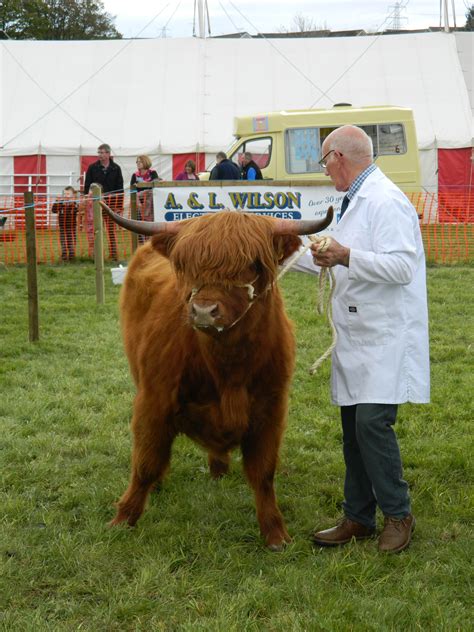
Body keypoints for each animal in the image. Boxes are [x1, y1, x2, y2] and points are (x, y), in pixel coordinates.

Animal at [100, 205, 334, 552]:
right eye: (186, 266)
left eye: (252, 265)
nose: (203, 311)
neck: (228, 369)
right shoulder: (153, 400)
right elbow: (145, 462)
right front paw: (123, 518)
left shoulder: (271, 408)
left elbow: (264, 473)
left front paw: (275, 533)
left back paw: (218, 468)